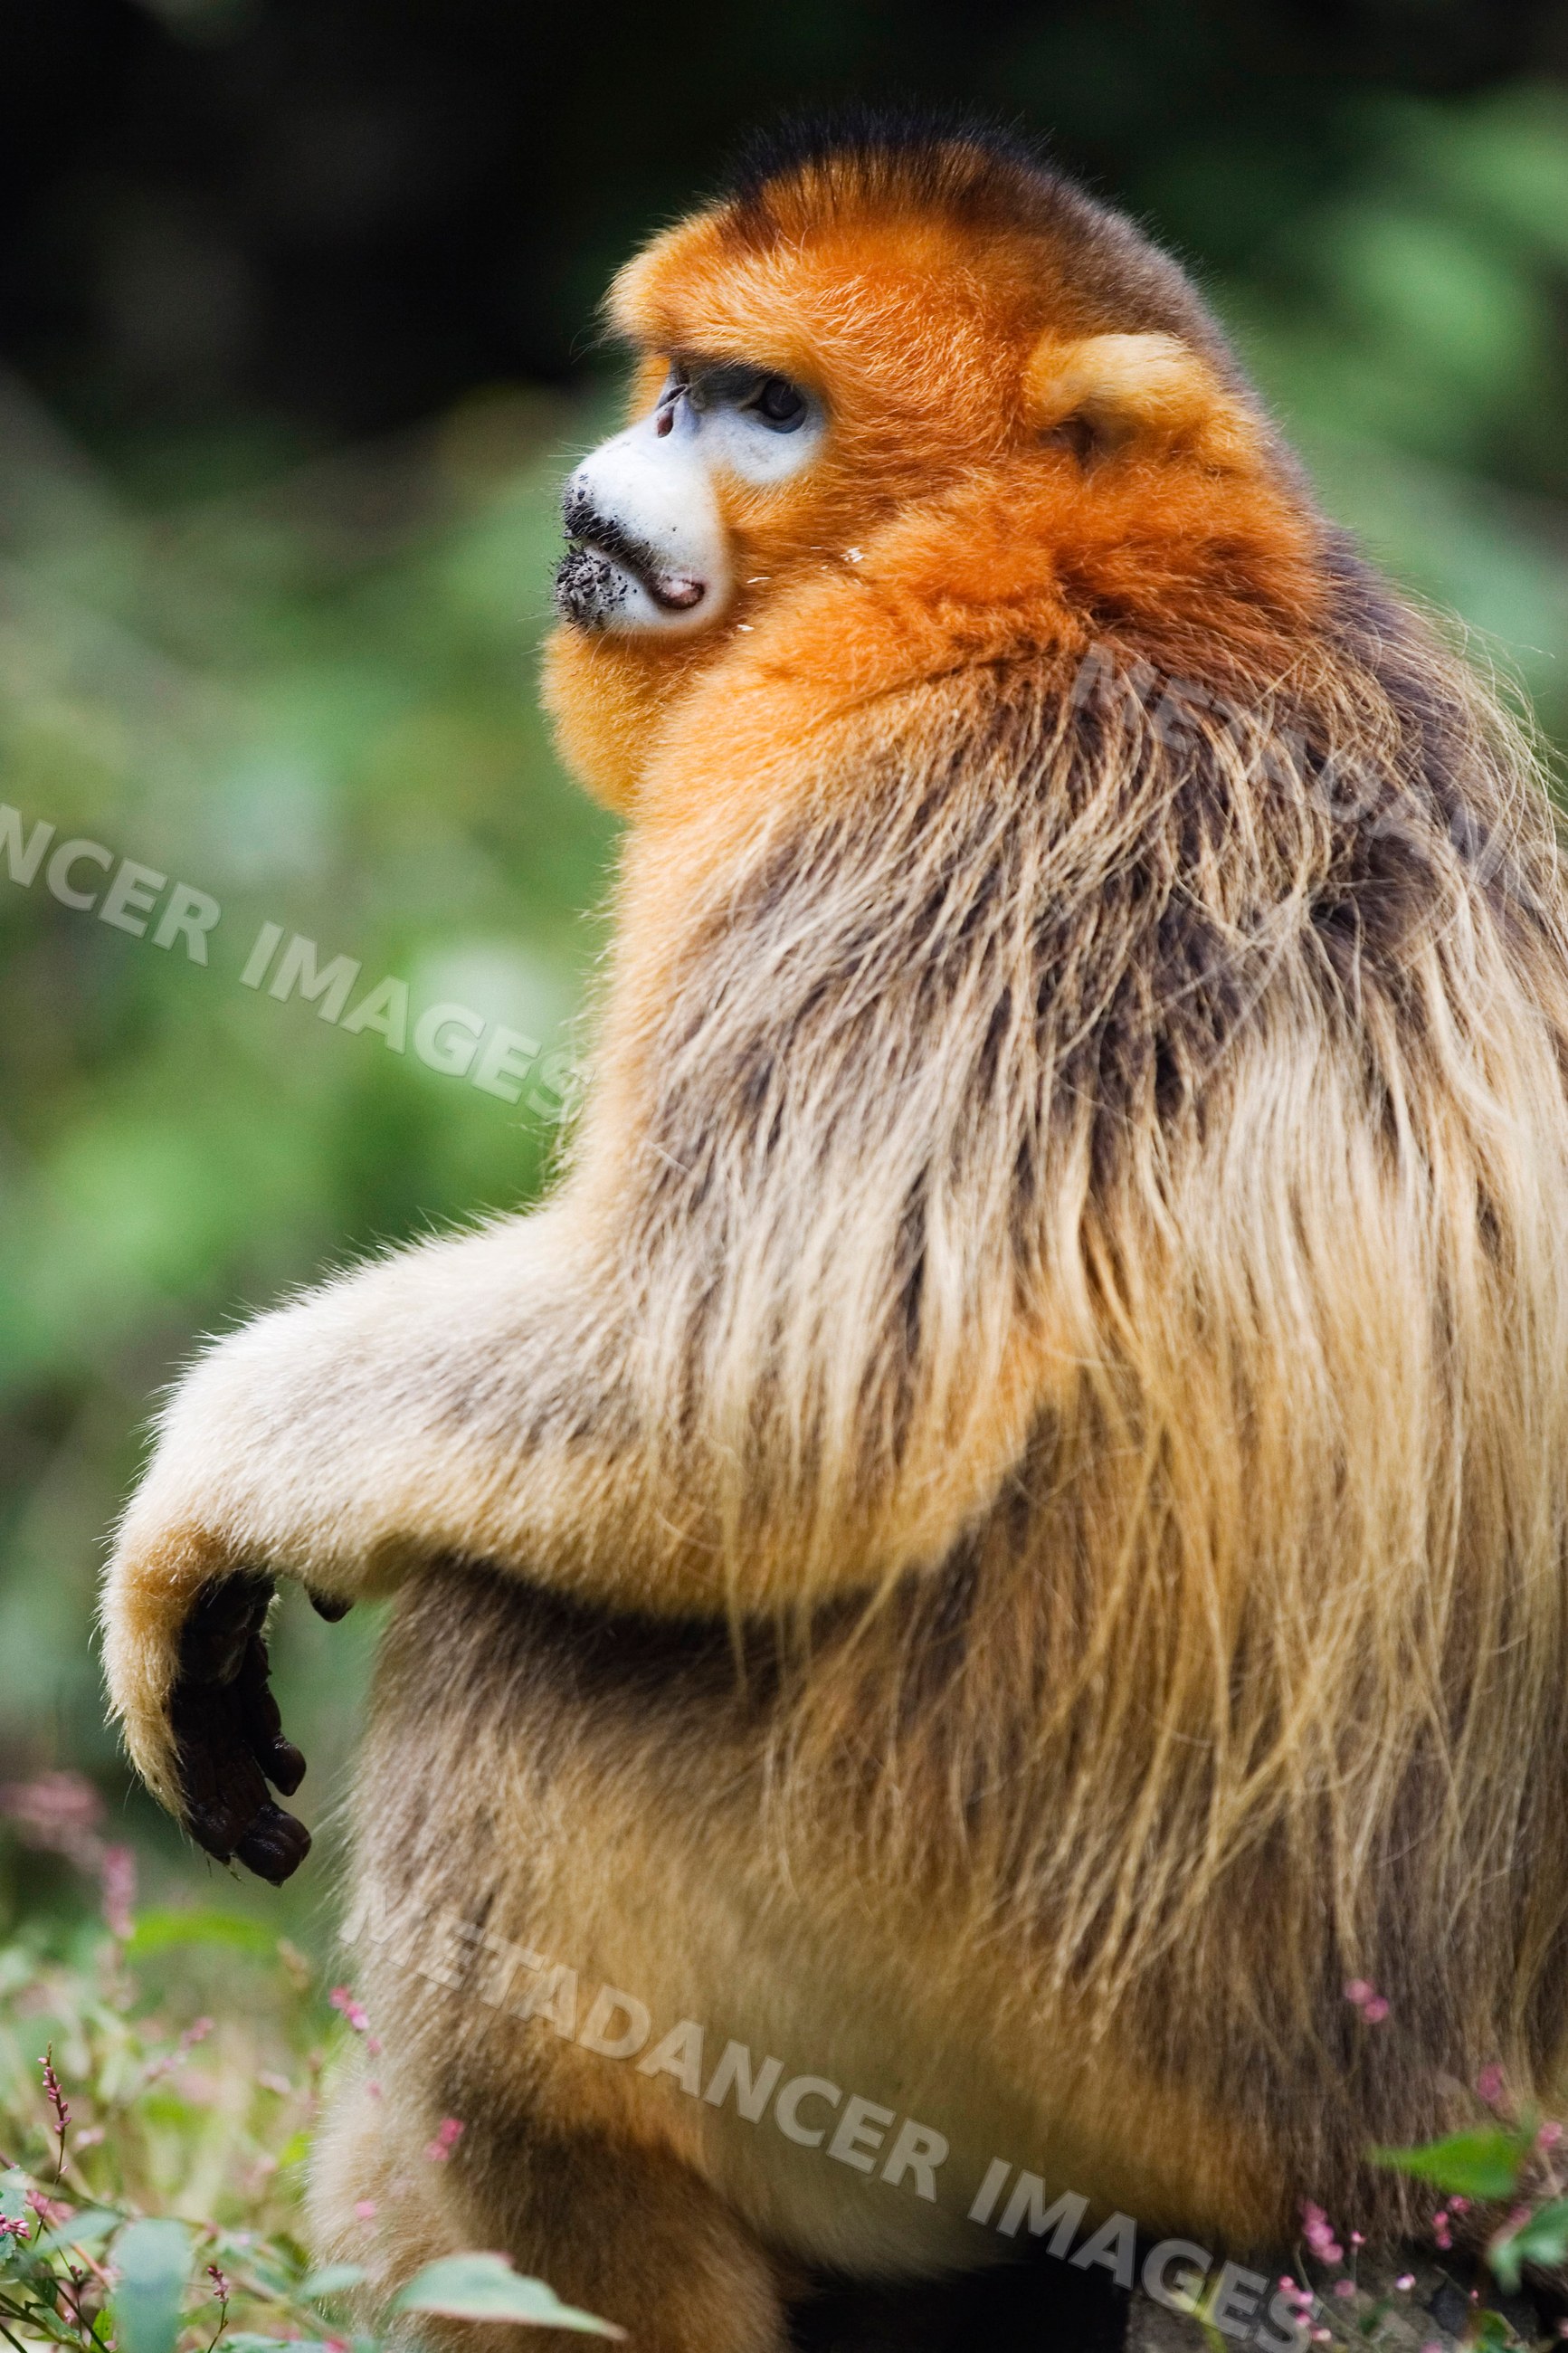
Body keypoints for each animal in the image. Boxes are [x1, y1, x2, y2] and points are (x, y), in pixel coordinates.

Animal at [100, 112, 1568, 2351]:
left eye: (761, 407)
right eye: (674, 386)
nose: (606, 483)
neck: (1095, 571)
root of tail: (1440, 2138)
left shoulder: (933, 780)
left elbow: (752, 1392)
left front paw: (204, 1506)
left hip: (1074, 2042)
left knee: (512, 1657)